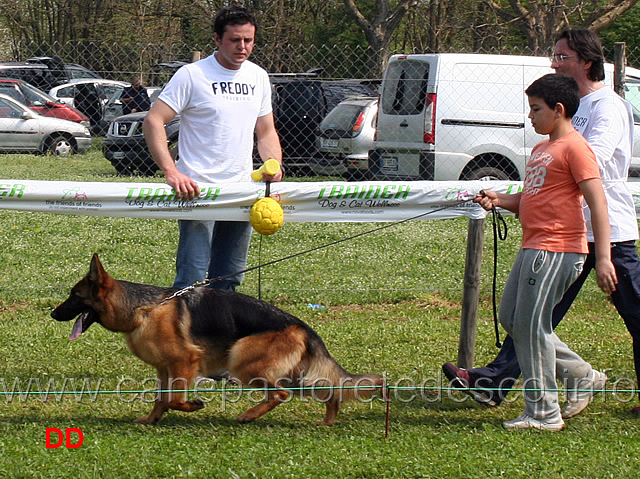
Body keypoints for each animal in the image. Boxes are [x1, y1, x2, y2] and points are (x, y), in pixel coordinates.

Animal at [52, 256, 382, 426]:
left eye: (74, 296)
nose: (53, 314)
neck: (143, 309)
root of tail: (302, 327)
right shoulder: (164, 368)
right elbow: (161, 398)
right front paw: (152, 420)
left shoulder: (184, 362)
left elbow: (174, 398)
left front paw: (192, 405)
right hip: (295, 373)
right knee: (329, 391)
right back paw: (327, 421)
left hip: (243, 360)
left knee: (280, 394)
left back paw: (248, 415)